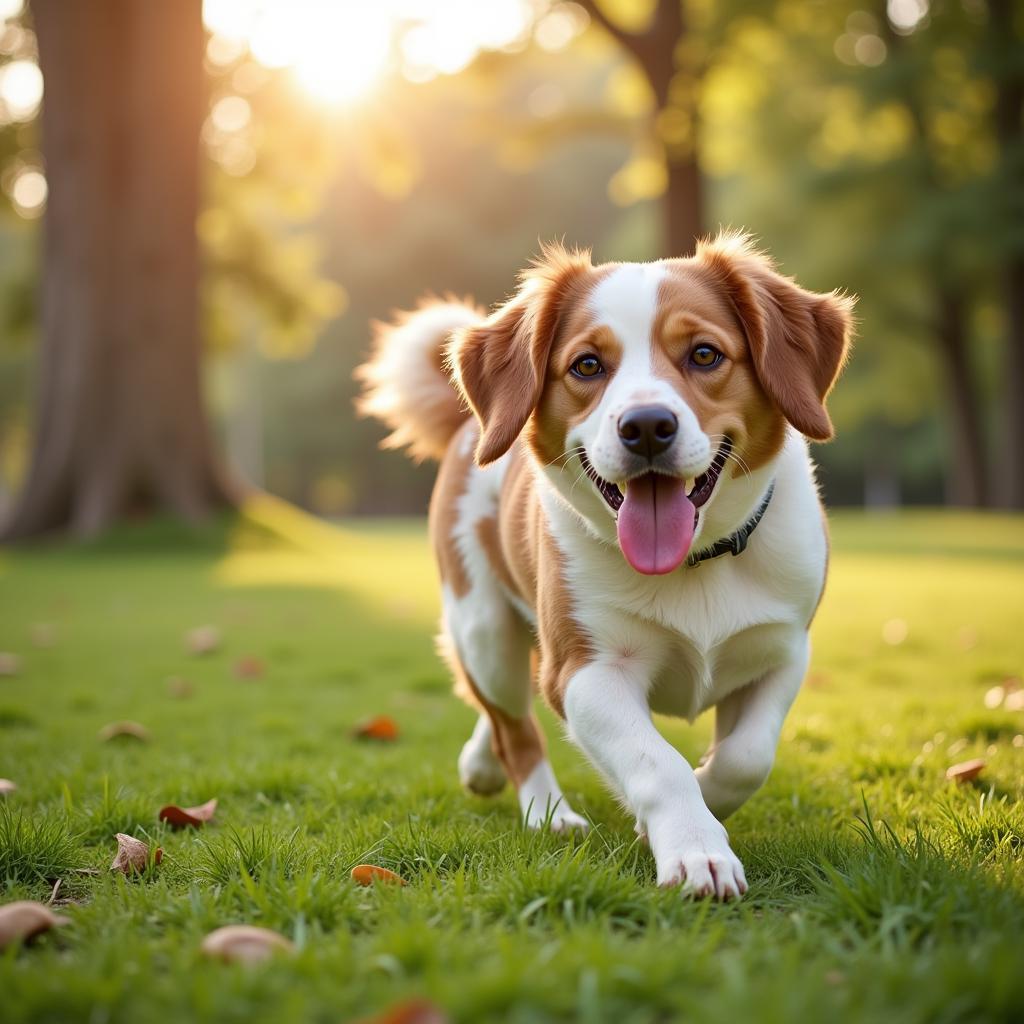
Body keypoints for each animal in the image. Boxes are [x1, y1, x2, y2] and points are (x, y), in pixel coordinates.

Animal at [356, 230, 851, 897]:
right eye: (587, 365)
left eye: (704, 354)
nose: (646, 426)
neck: (694, 564)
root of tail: (470, 427)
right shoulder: (586, 672)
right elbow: (658, 764)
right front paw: (695, 847)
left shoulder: (782, 651)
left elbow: (747, 758)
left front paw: (700, 800)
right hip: (482, 628)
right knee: (515, 725)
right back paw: (547, 811)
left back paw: (481, 763)